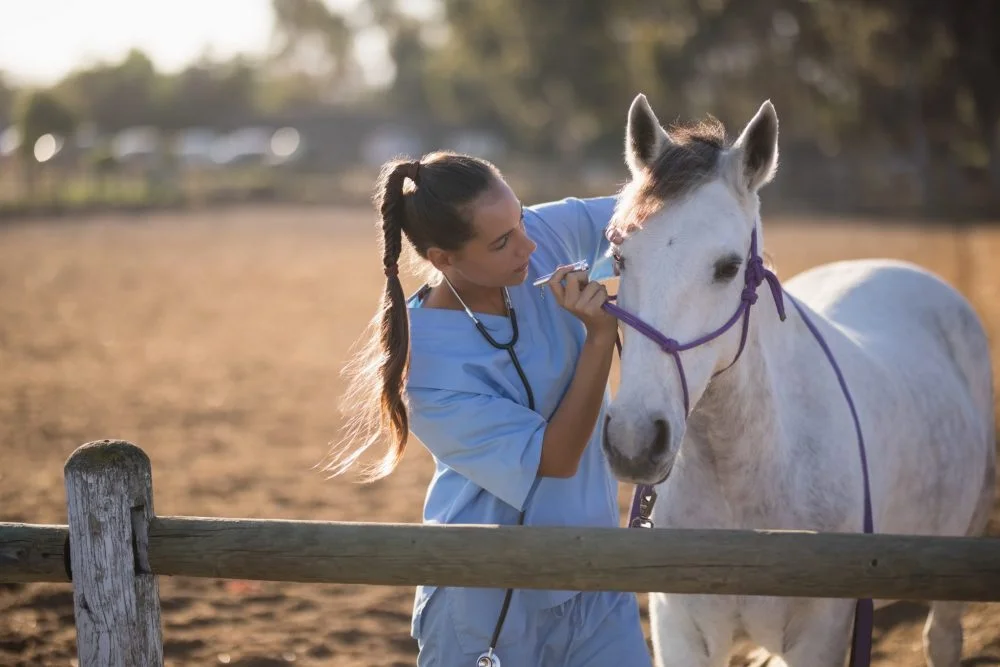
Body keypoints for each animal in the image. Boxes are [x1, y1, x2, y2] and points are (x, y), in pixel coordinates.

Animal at [600, 94, 996, 667]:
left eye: (728, 267)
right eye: (619, 257)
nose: (632, 438)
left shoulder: (819, 636)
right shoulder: (682, 633)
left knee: (941, 638)